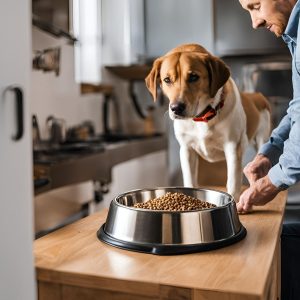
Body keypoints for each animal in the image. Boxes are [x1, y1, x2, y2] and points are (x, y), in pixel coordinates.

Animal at [144, 43, 270, 200]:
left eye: (193, 77)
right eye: (167, 80)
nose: (176, 108)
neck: (202, 117)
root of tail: (257, 96)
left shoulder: (233, 148)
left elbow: (232, 184)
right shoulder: (187, 150)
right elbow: (190, 182)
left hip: (262, 142)